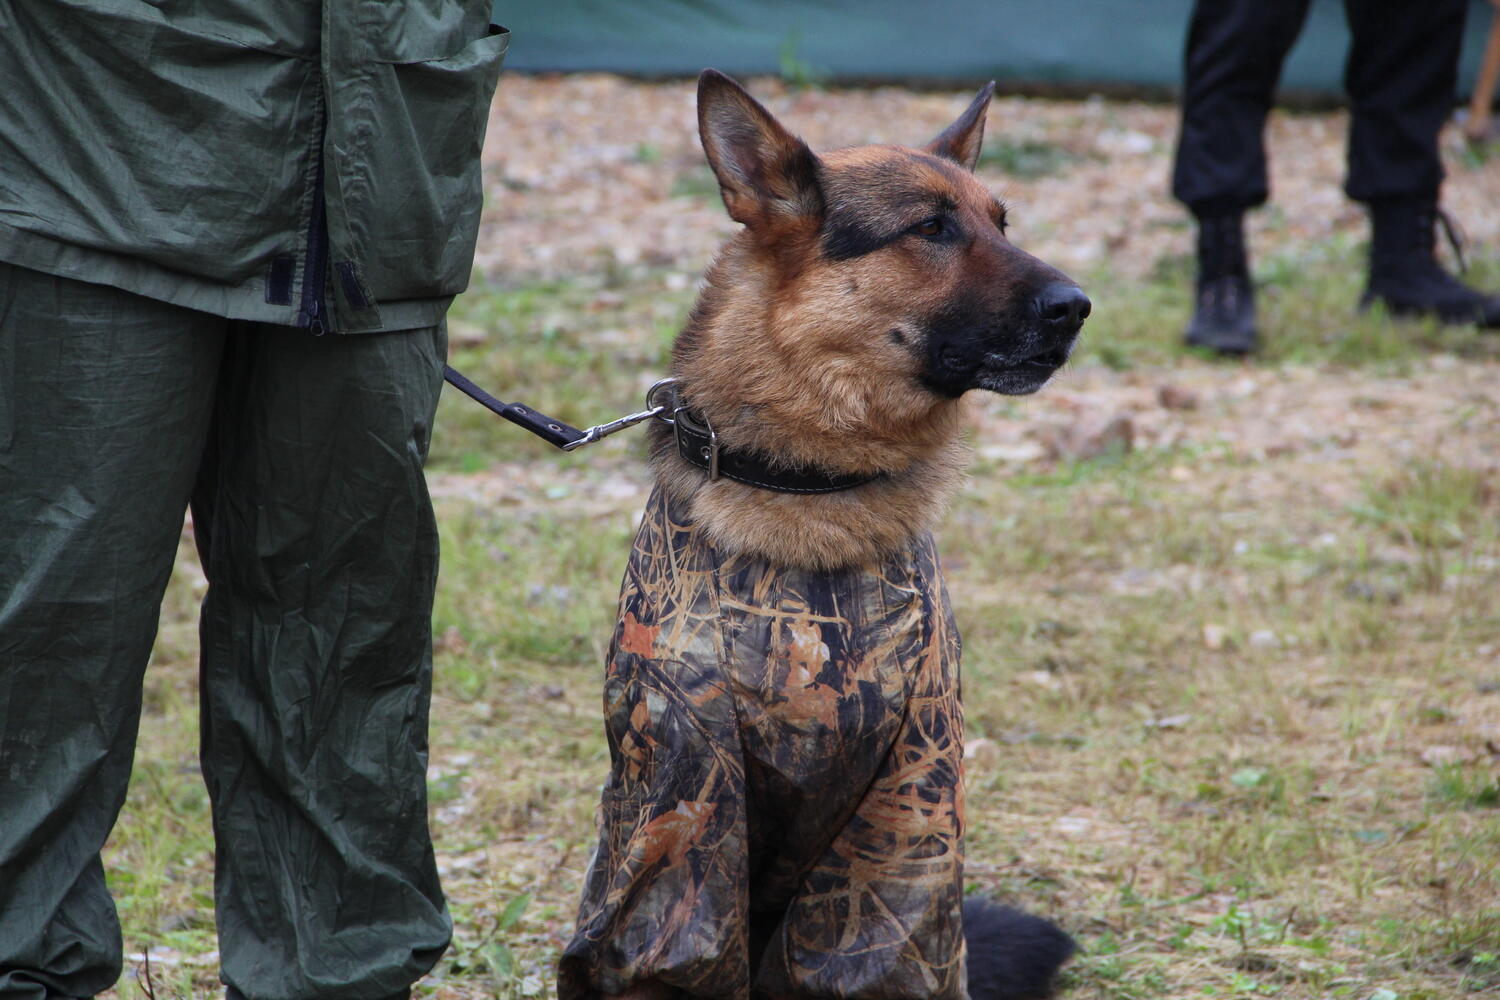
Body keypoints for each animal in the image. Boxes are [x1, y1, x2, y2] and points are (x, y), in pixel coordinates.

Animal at [557, 71, 1087, 1000]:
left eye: (1002, 221)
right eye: (931, 228)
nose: (1079, 308)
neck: (809, 480)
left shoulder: (906, 802)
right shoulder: (684, 788)